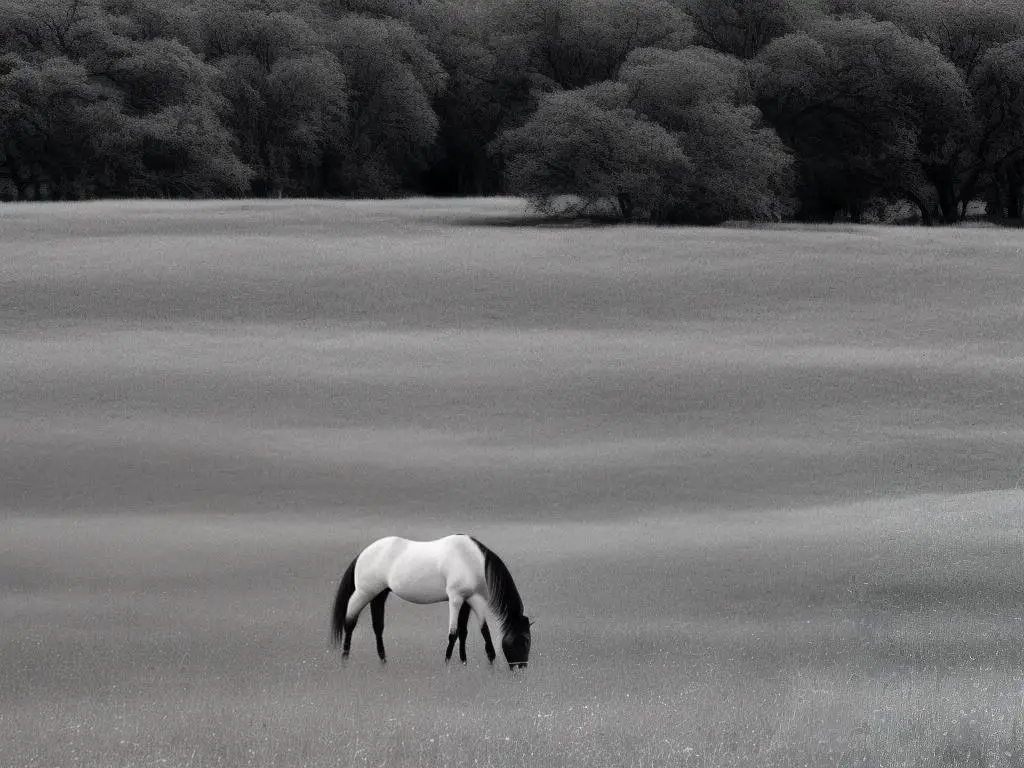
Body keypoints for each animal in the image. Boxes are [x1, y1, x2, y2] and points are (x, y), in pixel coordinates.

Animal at [331, 536, 532, 667]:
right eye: (523, 642)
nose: (521, 667)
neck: (469, 558)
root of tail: (362, 553)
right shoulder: (455, 598)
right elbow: (453, 632)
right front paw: (447, 661)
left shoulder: (470, 598)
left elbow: (476, 630)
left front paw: (474, 659)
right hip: (364, 592)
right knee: (349, 620)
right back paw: (344, 658)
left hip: (379, 594)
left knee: (377, 626)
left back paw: (383, 659)